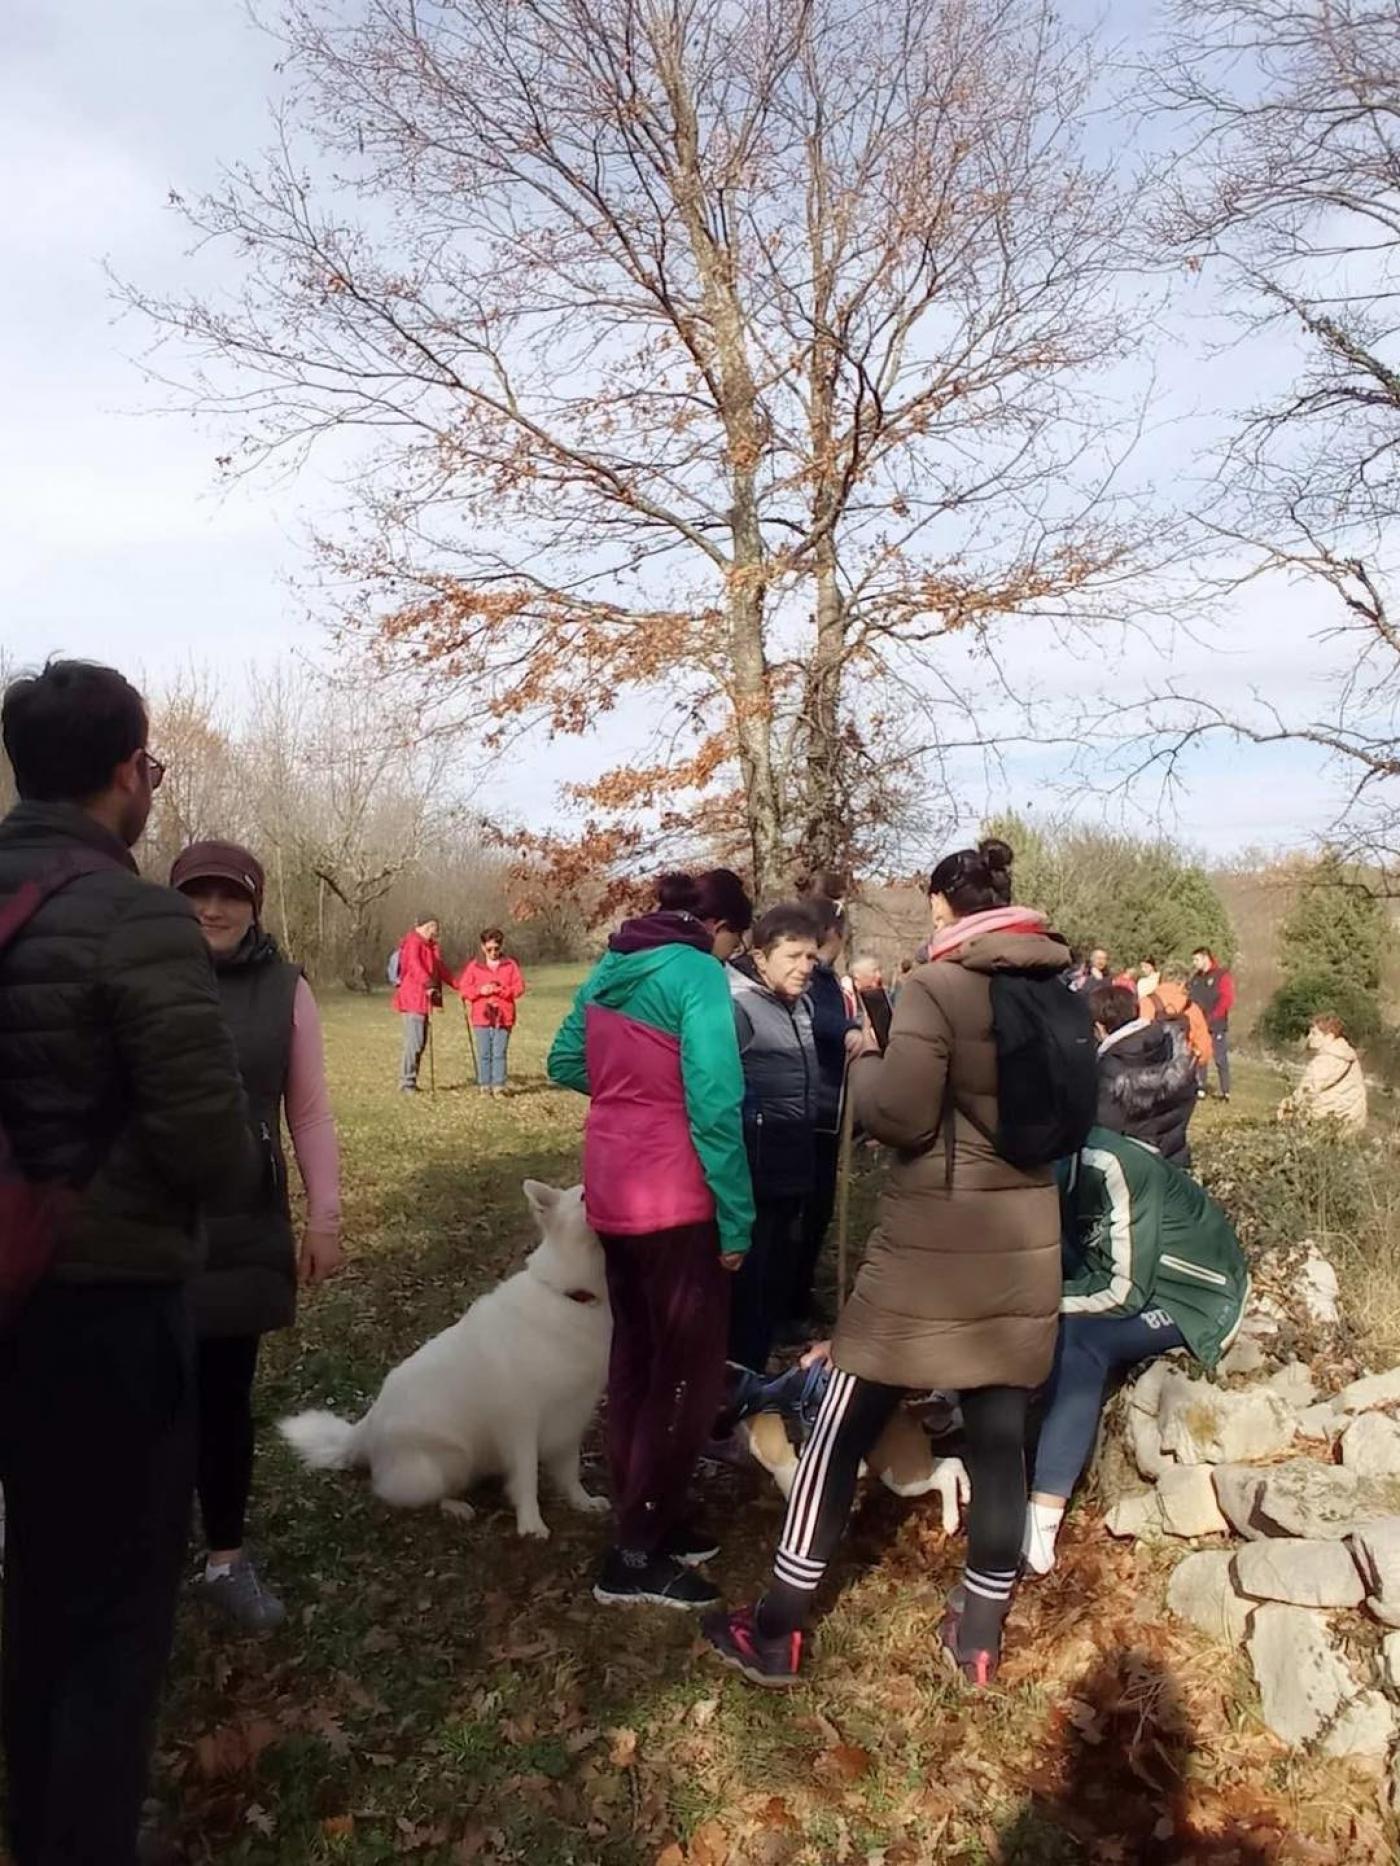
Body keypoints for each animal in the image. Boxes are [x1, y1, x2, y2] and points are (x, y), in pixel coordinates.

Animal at [281, 1186, 612, 1537]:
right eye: (584, 1196)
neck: (570, 1295)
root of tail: (364, 1428)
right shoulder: (520, 1424)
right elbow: (527, 1480)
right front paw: (531, 1525)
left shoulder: (573, 1416)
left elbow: (570, 1473)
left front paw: (583, 1502)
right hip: (449, 1461)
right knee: (418, 1495)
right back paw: (456, 1507)